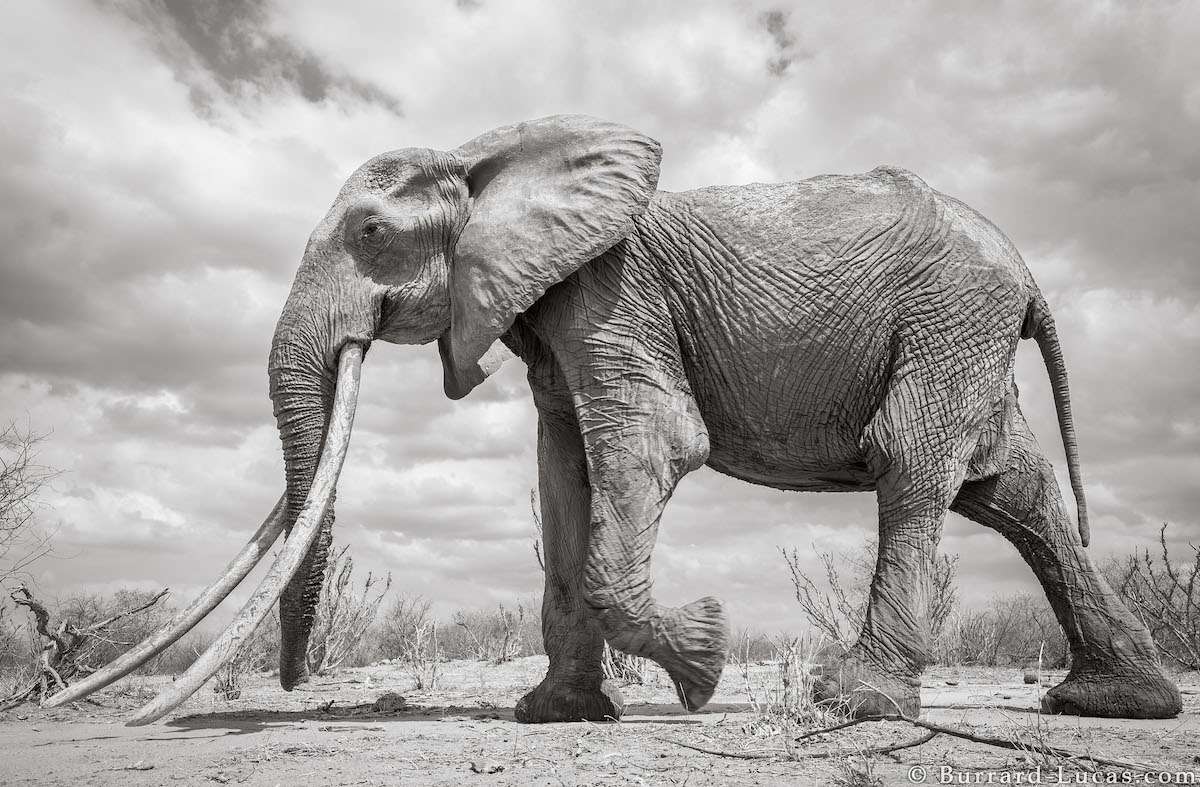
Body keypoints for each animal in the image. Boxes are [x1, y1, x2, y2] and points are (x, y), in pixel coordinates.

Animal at [51, 113, 1176, 724]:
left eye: (369, 233)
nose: (287, 686)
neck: (487, 154)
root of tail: (1028, 273)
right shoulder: (555, 321)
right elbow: (563, 478)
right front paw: (555, 712)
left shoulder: (612, 293)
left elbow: (650, 448)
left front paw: (704, 664)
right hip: (965, 334)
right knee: (1014, 493)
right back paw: (1116, 703)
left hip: (951, 320)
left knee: (915, 467)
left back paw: (852, 703)